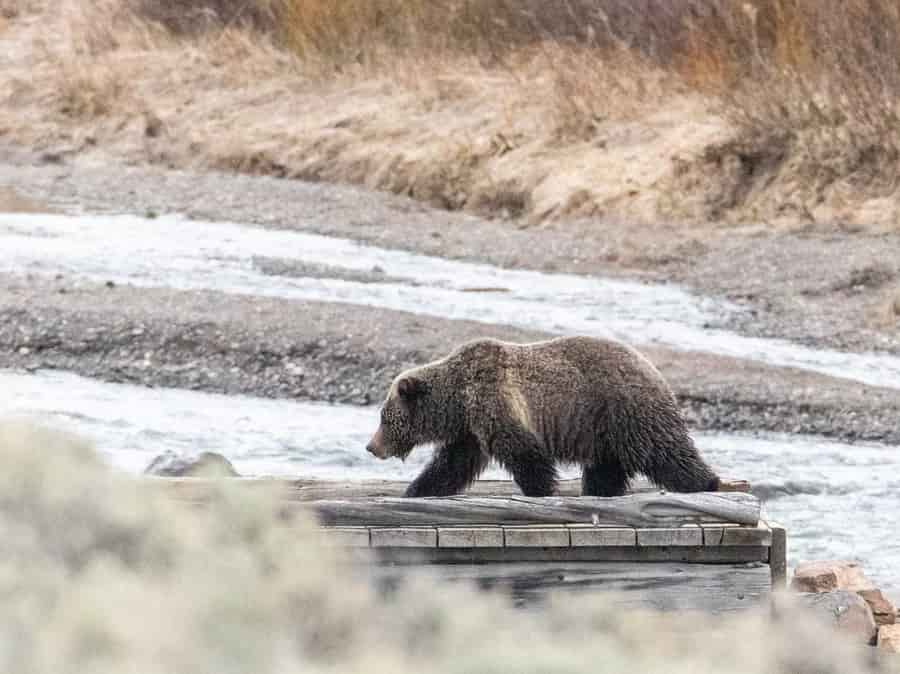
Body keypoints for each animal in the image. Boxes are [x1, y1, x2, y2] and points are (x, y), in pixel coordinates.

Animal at [362, 334, 720, 496]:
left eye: (384, 418)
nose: (371, 446)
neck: (457, 401)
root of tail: (653, 368)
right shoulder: (469, 429)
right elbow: (452, 464)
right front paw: (418, 489)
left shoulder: (494, 400)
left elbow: (523, 450)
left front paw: (540, 489)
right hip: (602, 428)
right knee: (606, 466)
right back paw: (600, 490)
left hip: (627, 410)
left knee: (664, 451)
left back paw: (707, 482)